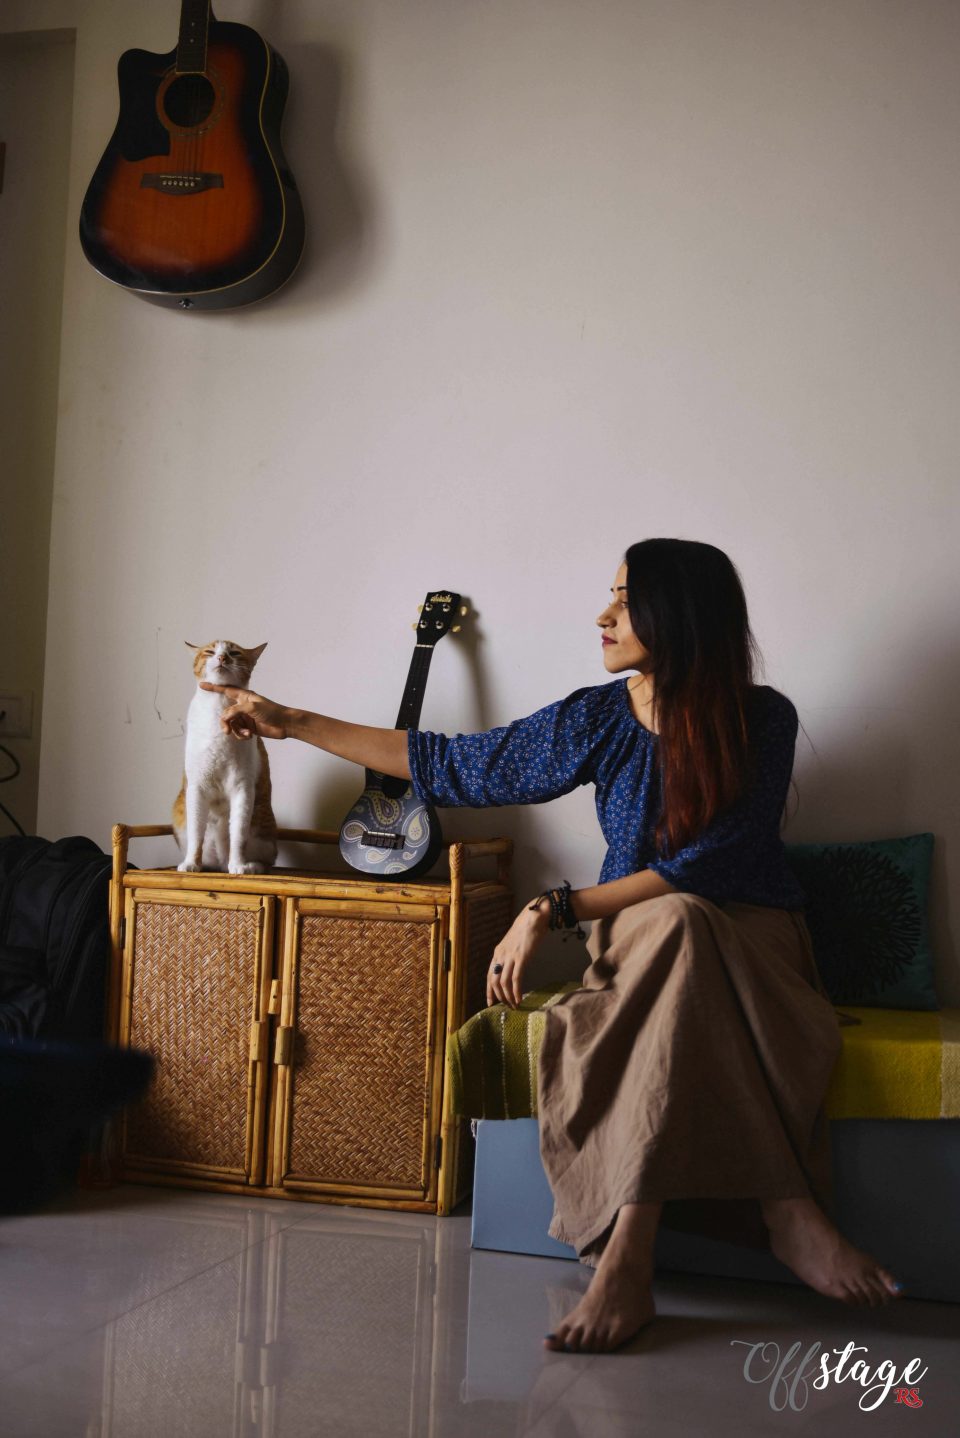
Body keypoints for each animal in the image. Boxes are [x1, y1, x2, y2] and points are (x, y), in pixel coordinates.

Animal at [173, 644, 278, 874]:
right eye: (209, 652)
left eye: (235, 653)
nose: (222, 657)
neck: (217, 707)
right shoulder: (196, 788)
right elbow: (196, 834)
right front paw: (192, 864)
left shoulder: (242, 788)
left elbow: (238, 835)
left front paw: (238, 865)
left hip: (262, 826)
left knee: (267, 859)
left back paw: (251, 866)